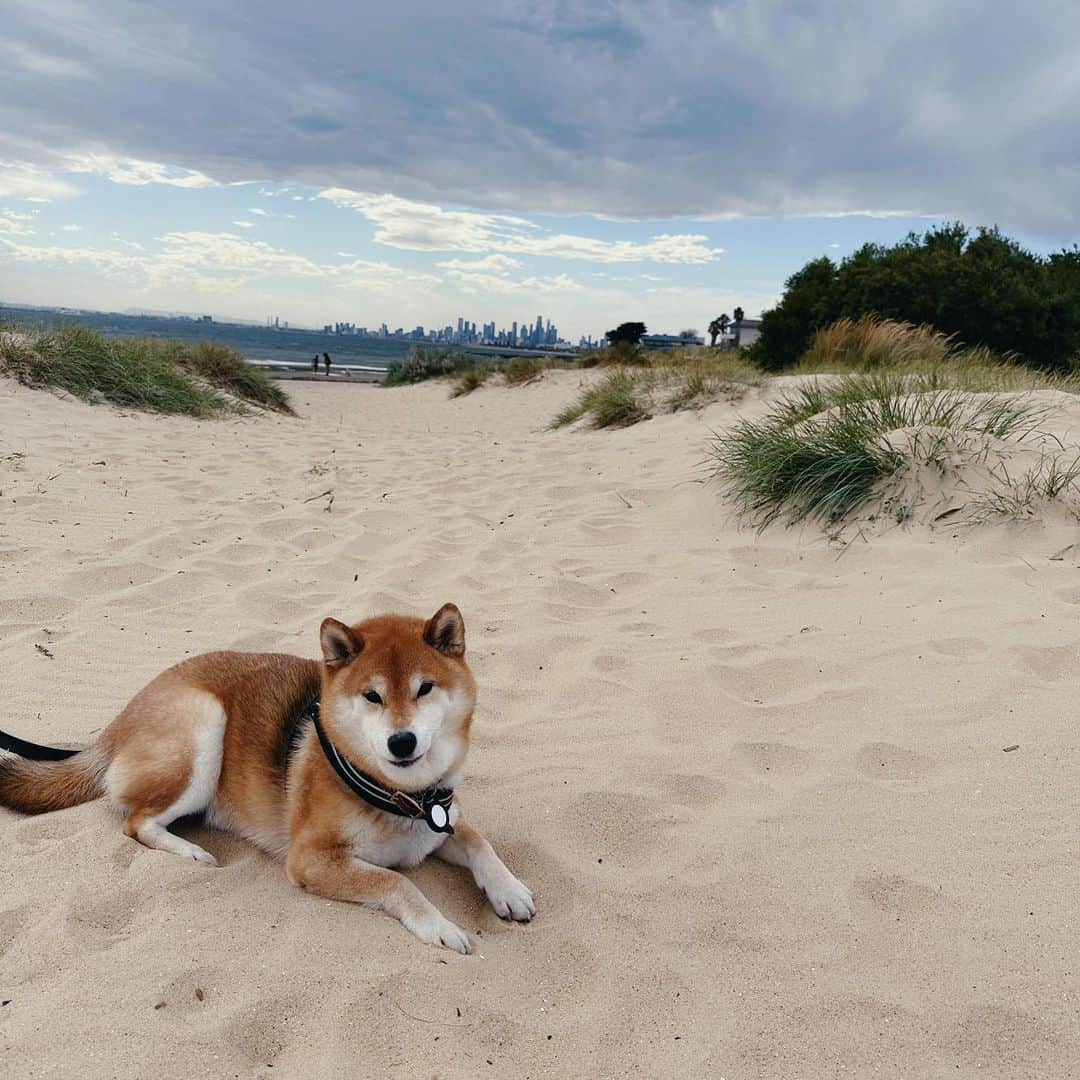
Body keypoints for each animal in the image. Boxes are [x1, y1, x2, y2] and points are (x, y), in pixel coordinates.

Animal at [0, 609, 535, 954]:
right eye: (372, 696)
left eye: (425, 688)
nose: (401, 742)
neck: (400, 795)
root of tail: (120, 720)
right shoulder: (310, 859)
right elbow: (395, 881)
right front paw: (439, 926)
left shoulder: (440, 821)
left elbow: (480, 842)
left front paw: (508, 890)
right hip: (202, 729)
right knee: (136, 822)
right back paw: (189, 851)